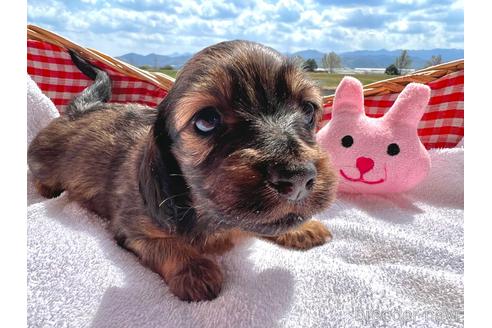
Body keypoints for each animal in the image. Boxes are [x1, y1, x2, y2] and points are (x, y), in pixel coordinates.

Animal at [26, 41, 338, 302]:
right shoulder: (132, 229)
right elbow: (167, 246)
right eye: (207, 120)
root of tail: (79, 111)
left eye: (308, 109)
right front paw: (194, 269)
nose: (298, 178)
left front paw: (303, 227)